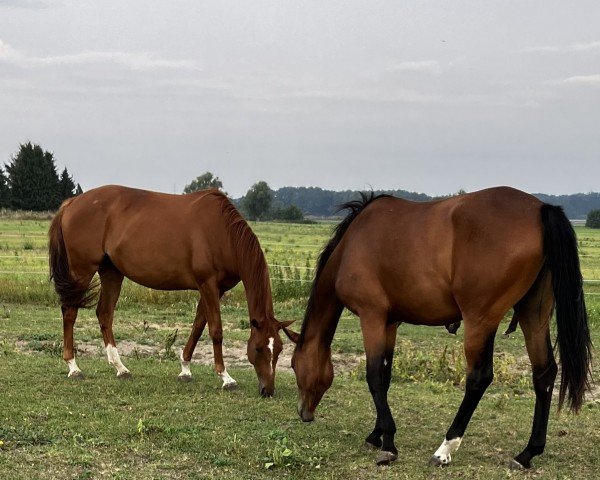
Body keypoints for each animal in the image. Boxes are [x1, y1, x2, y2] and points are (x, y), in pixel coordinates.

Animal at [50, 186, 294, 396]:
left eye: (280, 350)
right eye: (259, 348)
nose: (268, 390)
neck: (222, 233)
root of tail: (72, 203)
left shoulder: (215, 289)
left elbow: (197, 327)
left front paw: (185, 369)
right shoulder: (208, 284)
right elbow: (216, 330)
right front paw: (226, 378)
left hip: (111, 273)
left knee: (104, 314)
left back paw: (121, 368)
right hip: (81, 271)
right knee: (70, 312)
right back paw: (74, 367)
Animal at [290, 188, 592, 468]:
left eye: (293, 365)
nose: (302, 412)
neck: (351, 246)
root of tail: (540, 208)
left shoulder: (372, 317)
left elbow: (374, 376)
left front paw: (388, 444)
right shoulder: (390, 322)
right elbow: (385, 378)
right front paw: (377, 435)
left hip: (480, 320)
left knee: (479, 378)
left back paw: (445, 449)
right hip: (533, 315)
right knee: (544, 374)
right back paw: (527, 453)